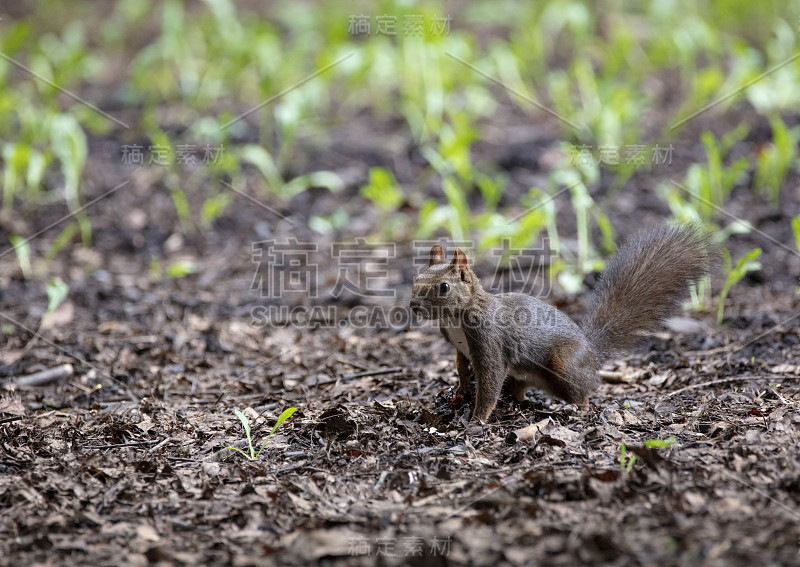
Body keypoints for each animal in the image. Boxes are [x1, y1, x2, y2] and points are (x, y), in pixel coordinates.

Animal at [412, 224, 712, 424]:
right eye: (416, 279)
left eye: (444, 287)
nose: (414, 306)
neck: (456, 317)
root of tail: (592, 352)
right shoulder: (459, 347)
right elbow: (462, 369)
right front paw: (459, 393)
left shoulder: (488, 339)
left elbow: (489, 378)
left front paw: (478, 418)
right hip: (524, 374)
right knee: (519, 389)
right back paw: (520, 403)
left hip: (563, 365)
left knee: (586, 389)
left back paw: (580, 410)